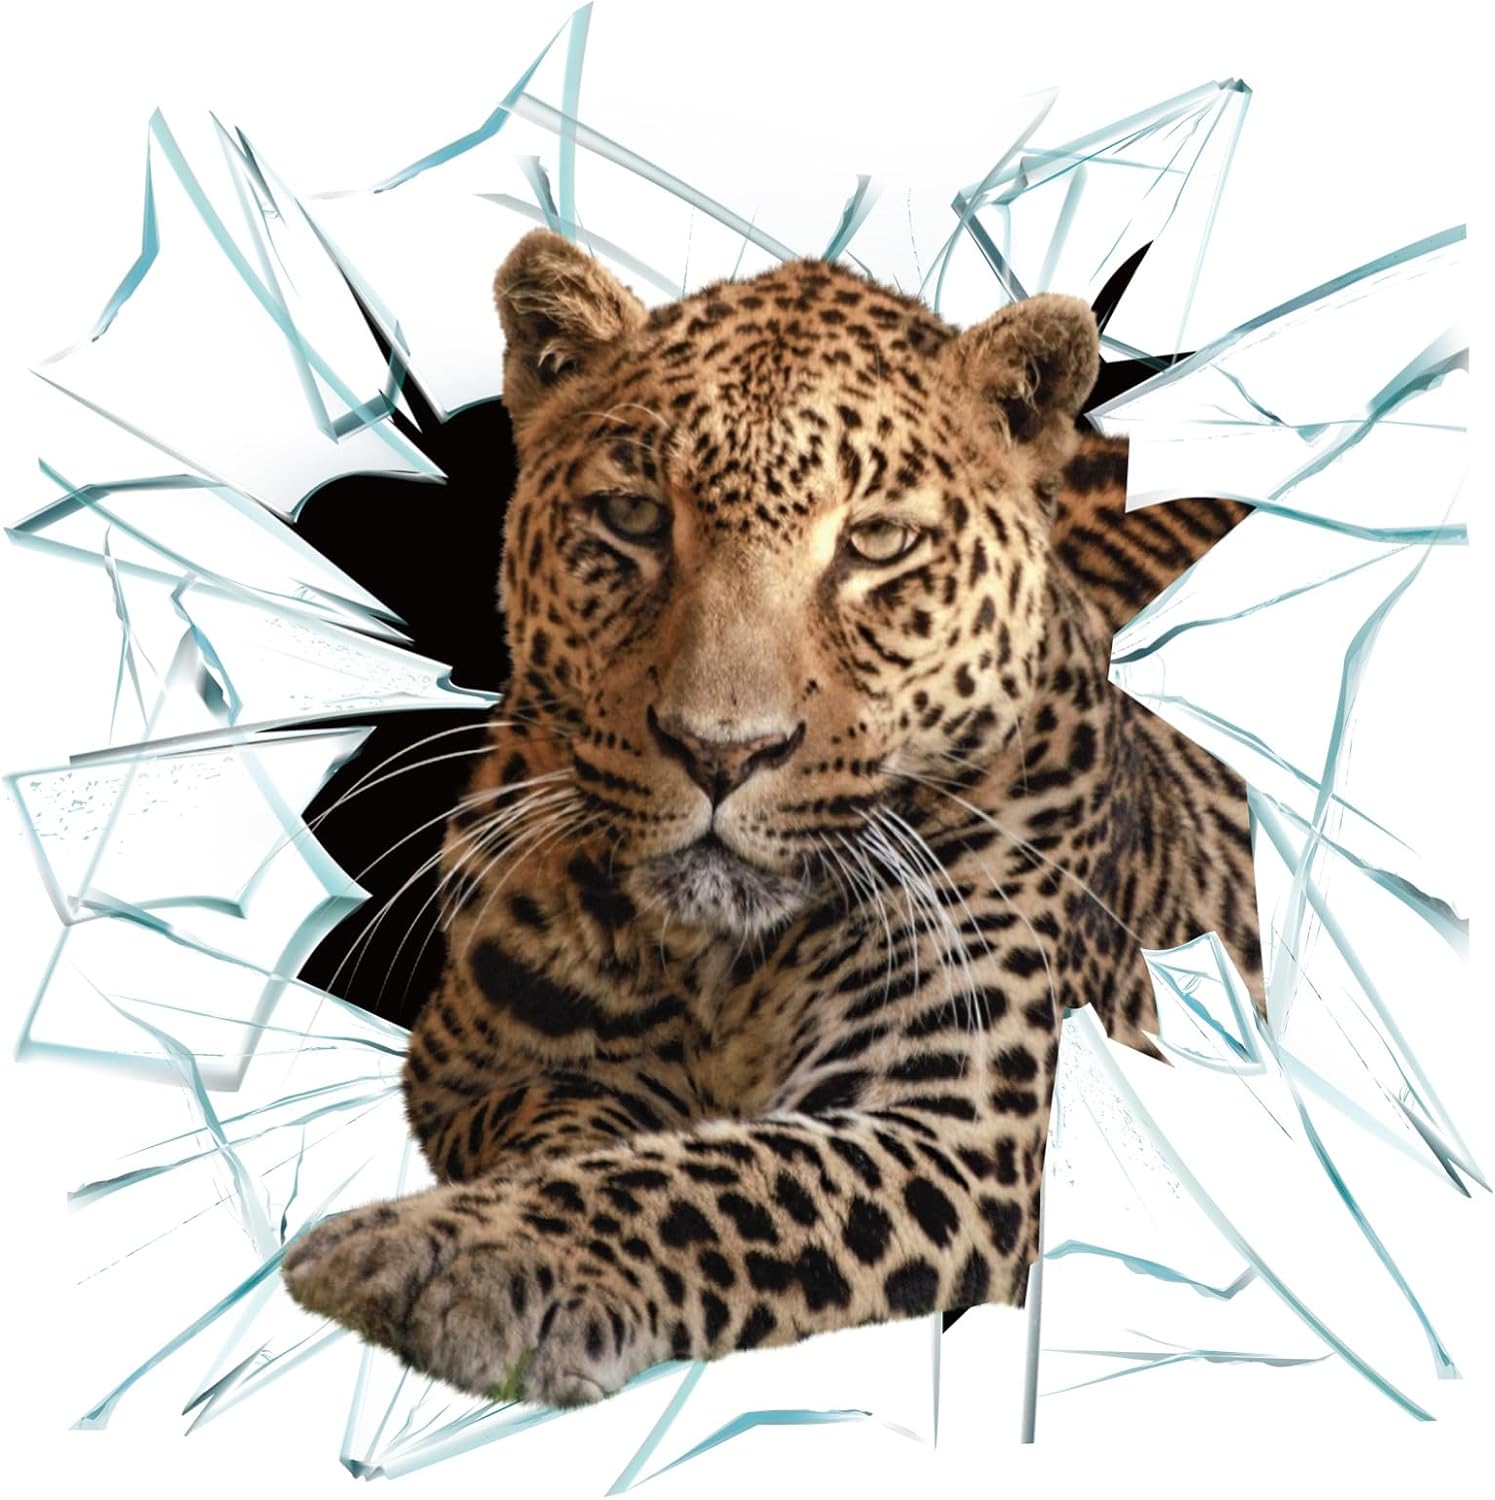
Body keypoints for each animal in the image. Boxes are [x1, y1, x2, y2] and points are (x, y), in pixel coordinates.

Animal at [283, 229, 1261, 1409]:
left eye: (876, 543)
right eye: (633, 517)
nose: (720, 750)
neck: (722, 968)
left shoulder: (952, 1126)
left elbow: (717, 1179)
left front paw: (454, 1255)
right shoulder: (482, 1066)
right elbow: (589, 1129)